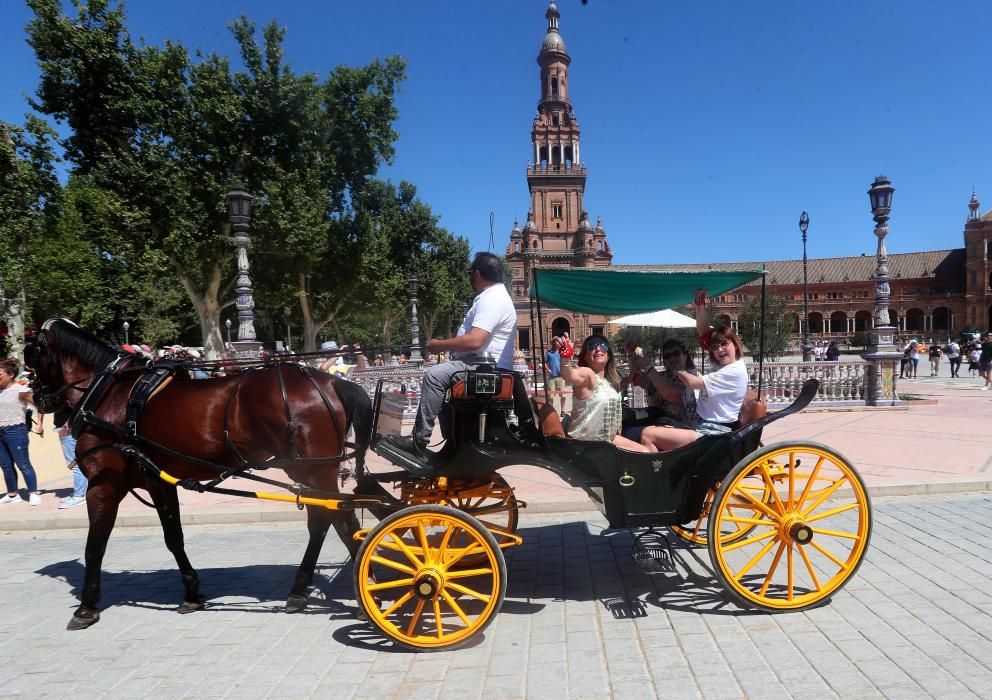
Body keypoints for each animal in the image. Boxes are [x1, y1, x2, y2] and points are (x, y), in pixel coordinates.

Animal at [25, 320, 372, 632]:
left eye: (32, 355)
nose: (36, 398)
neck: (111, 393)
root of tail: (331, 382)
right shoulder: (158, 480)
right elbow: (173, 537)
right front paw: (192, 592)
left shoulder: (104, 484)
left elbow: (95, 545)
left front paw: (86, 606)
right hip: (311, 470)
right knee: (329, 521)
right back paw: (310, 590)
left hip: (314, 469)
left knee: (339, 521)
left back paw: (362, 592)